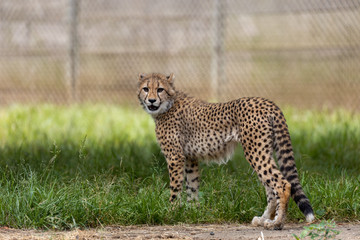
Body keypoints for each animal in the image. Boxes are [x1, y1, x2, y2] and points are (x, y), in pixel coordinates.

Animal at [138, 72, 316, 229]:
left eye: (160, 89)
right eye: (146, 89)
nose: (152, 100)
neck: (168, 104)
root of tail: (268, 102)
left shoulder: (175, 157)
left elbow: (175, 187)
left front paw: (172, 212)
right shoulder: (190, 158)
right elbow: (192, 186)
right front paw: (192, 211)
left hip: (255, 151)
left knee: (281, 183)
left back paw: (277, 223)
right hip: (263, 150)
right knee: (270, 187)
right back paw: (264, 219)